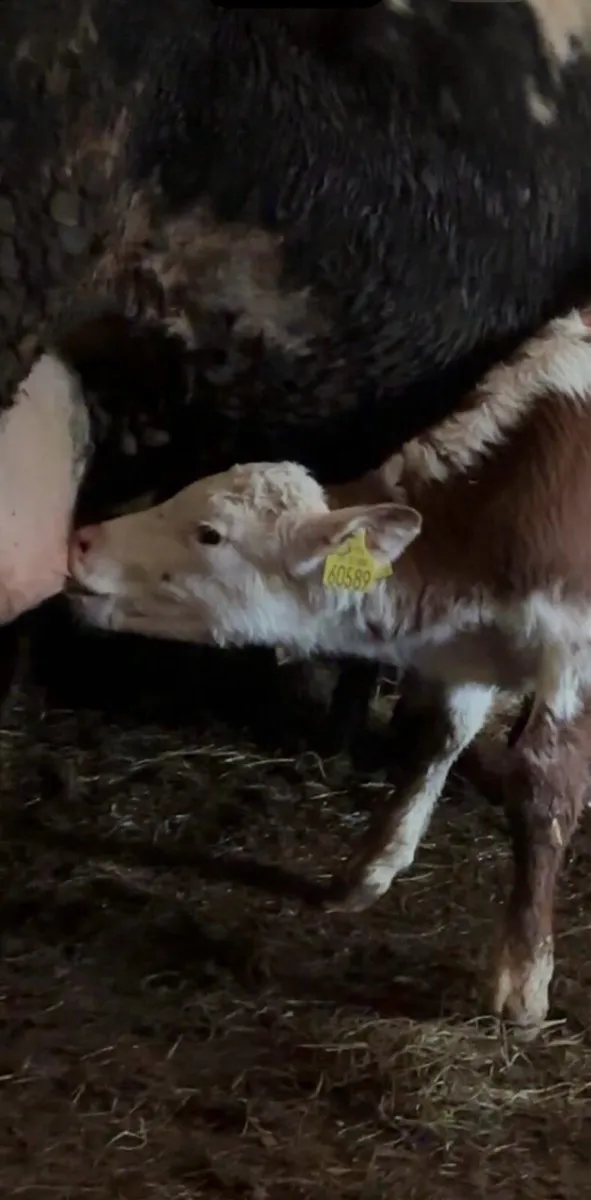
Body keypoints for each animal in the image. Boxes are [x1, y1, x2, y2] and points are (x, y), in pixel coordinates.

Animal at [67, 307, 591, 1026]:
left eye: (210, 533)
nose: (82, 539)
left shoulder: (573, 652)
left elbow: (544, 785)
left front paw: (521, 972)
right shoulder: (466, 648)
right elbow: (435, 737)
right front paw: (371, 865)